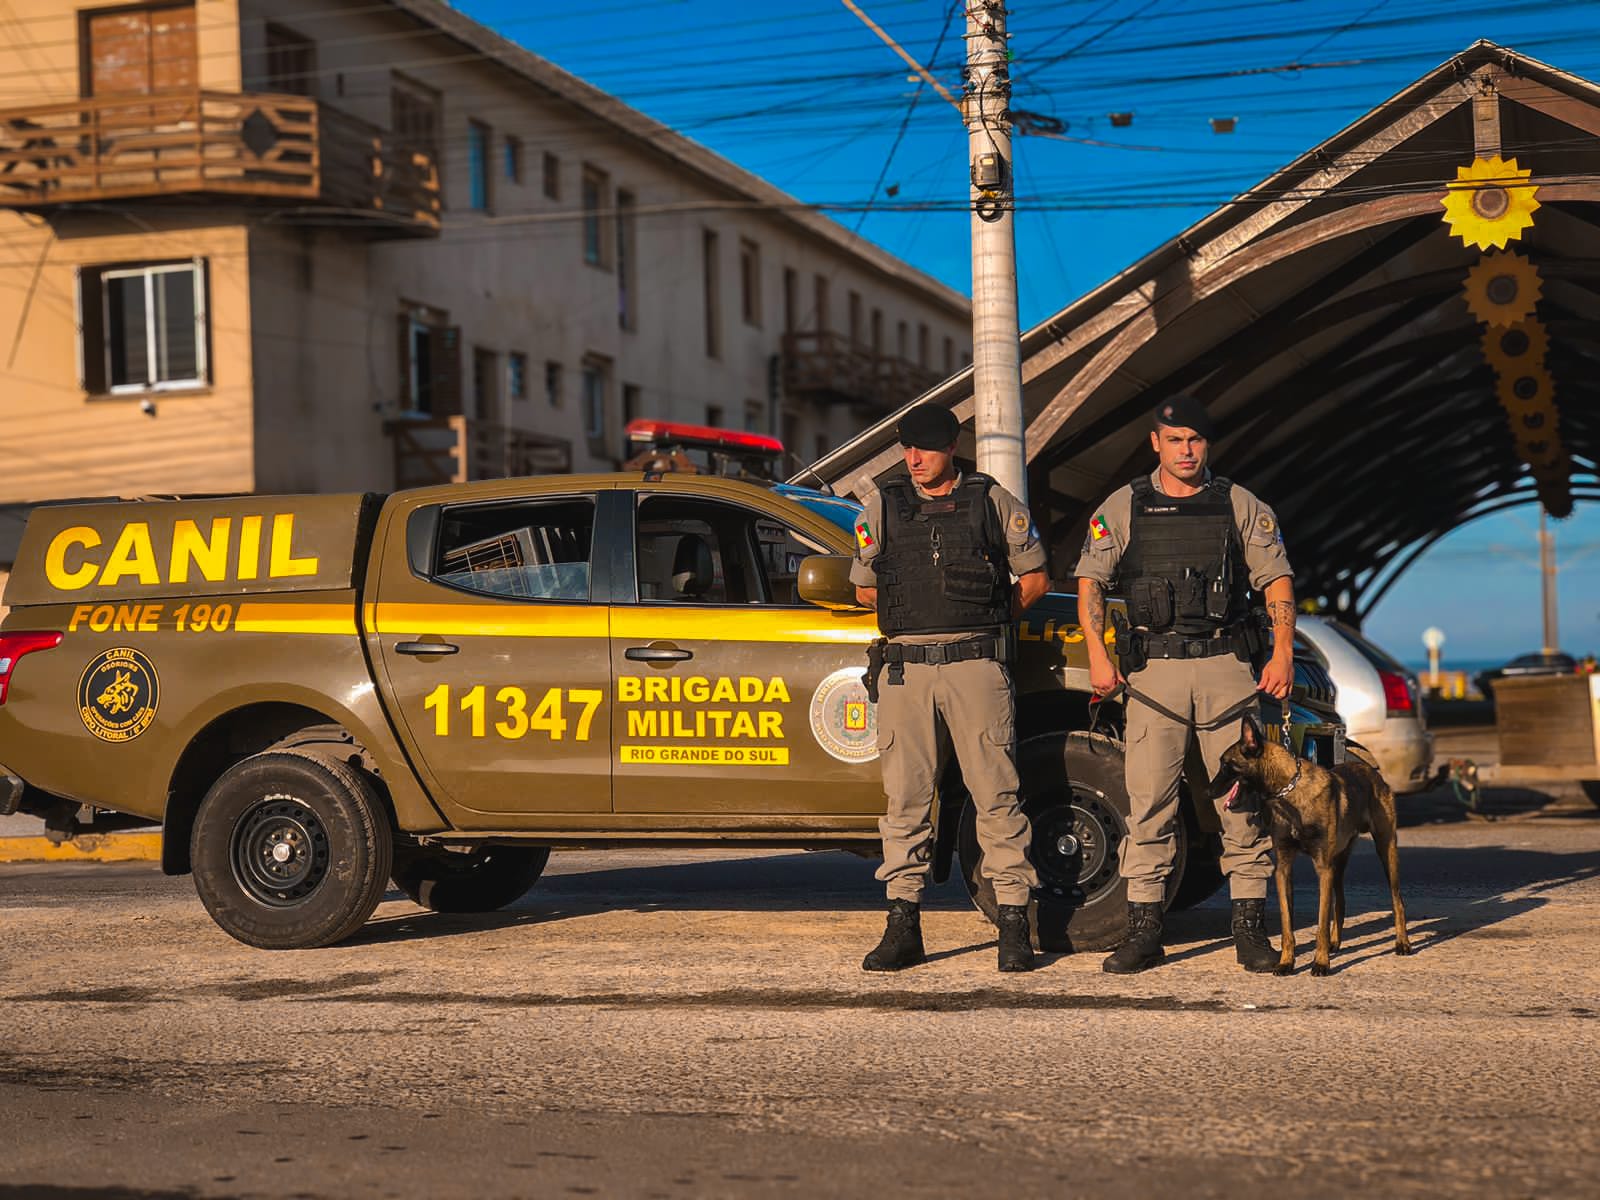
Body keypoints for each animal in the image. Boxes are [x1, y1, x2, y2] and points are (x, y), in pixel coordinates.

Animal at [1216, 713, 1408, 979]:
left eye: (1226, 765)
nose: (1206, 789)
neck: (1290, 792)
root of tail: (1370, 770)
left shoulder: (1322, 869)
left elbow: (1320, 923)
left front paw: (1321, 963)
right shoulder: (1285, 870)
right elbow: (1288, 924)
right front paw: (1286, 963)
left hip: (1385, 850)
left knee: (1397, 900)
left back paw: (1402, 943)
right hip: (1339, 863)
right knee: (1340, 902)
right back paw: (1336, 942)